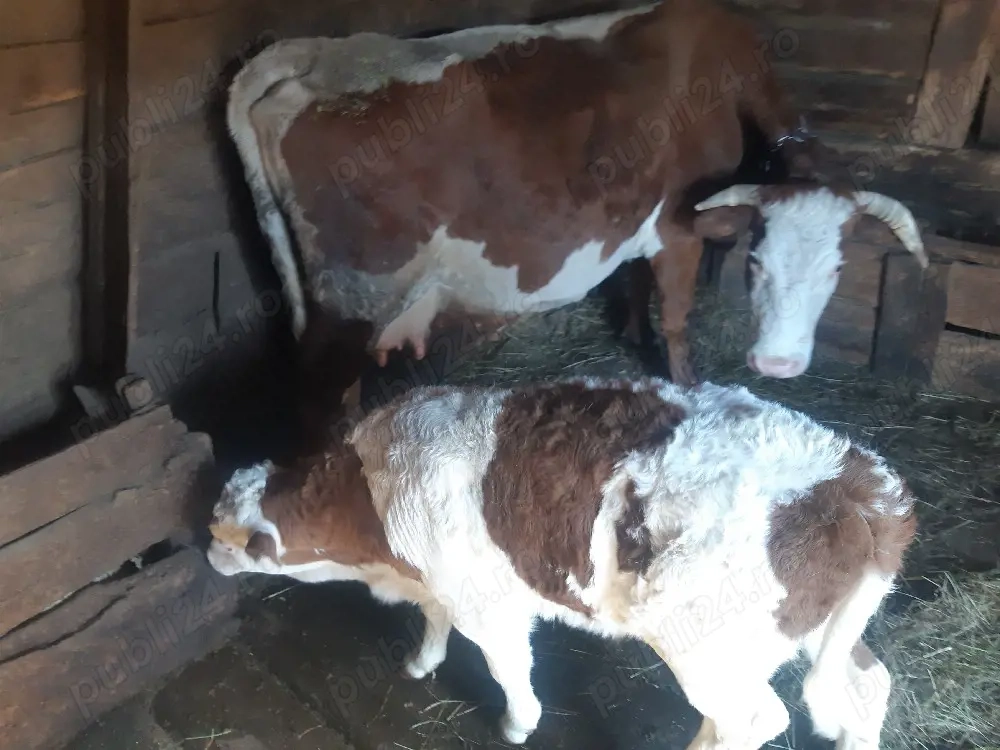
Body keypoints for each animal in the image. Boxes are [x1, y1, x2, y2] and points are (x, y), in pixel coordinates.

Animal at [207, 376, 916, 750]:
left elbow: (507, 669)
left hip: (704, 644)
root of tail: (859, 482)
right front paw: (422, 661)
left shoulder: (487, 603)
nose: (206, 553)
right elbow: (434, 618)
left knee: (755, 718)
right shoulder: (444, 581)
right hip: (800, 632)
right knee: (865, 684)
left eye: (231, 539)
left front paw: (517, 723)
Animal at [225, 0, 927, 429]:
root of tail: (314, 54)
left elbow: (636, 286)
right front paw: (688, 386)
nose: (778, 367)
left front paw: (635, 336)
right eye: (755, 261)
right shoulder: (677, 225)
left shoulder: (640, 220)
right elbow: (678, 318)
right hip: (355, 299)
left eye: (836, 269)